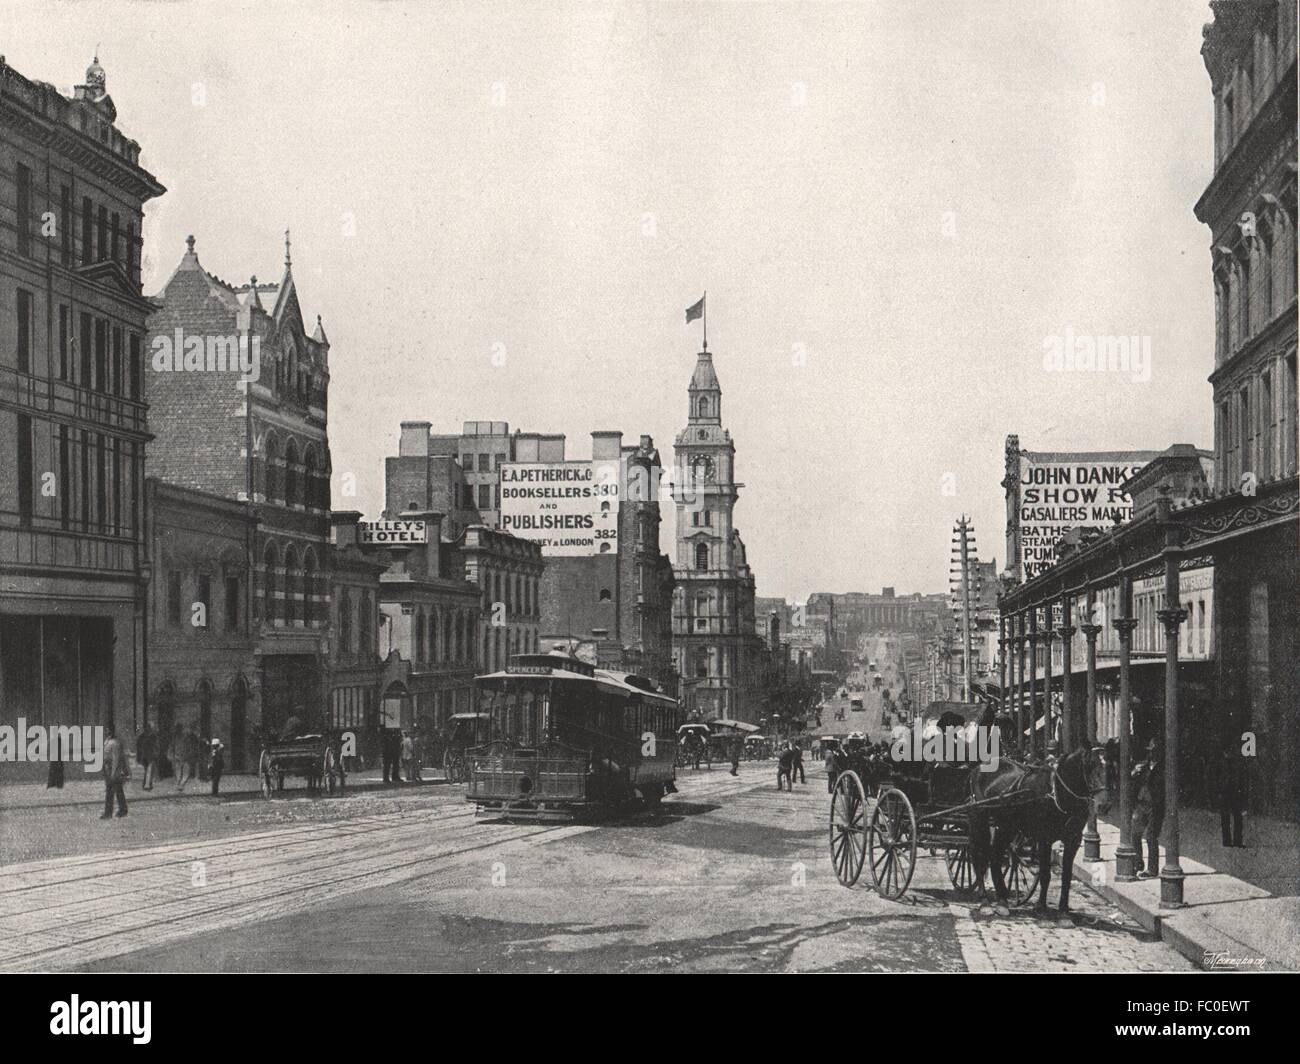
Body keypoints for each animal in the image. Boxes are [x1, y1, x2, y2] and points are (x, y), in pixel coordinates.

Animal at [972, 744, 1112, 915]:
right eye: (1090, 765)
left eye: (1110, 766)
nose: (1104, 805)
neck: (1057, 793)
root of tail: (979, 767)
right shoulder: (1044, 838)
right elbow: (1045, 874)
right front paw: (1040, 906)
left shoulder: (1073, 840)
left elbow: (1066, 876)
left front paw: (1063, 910)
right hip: (980, 820)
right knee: (978, 854)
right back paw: (984, 899)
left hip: (1007, 825)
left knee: (994, 854)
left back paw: (1002, 899)